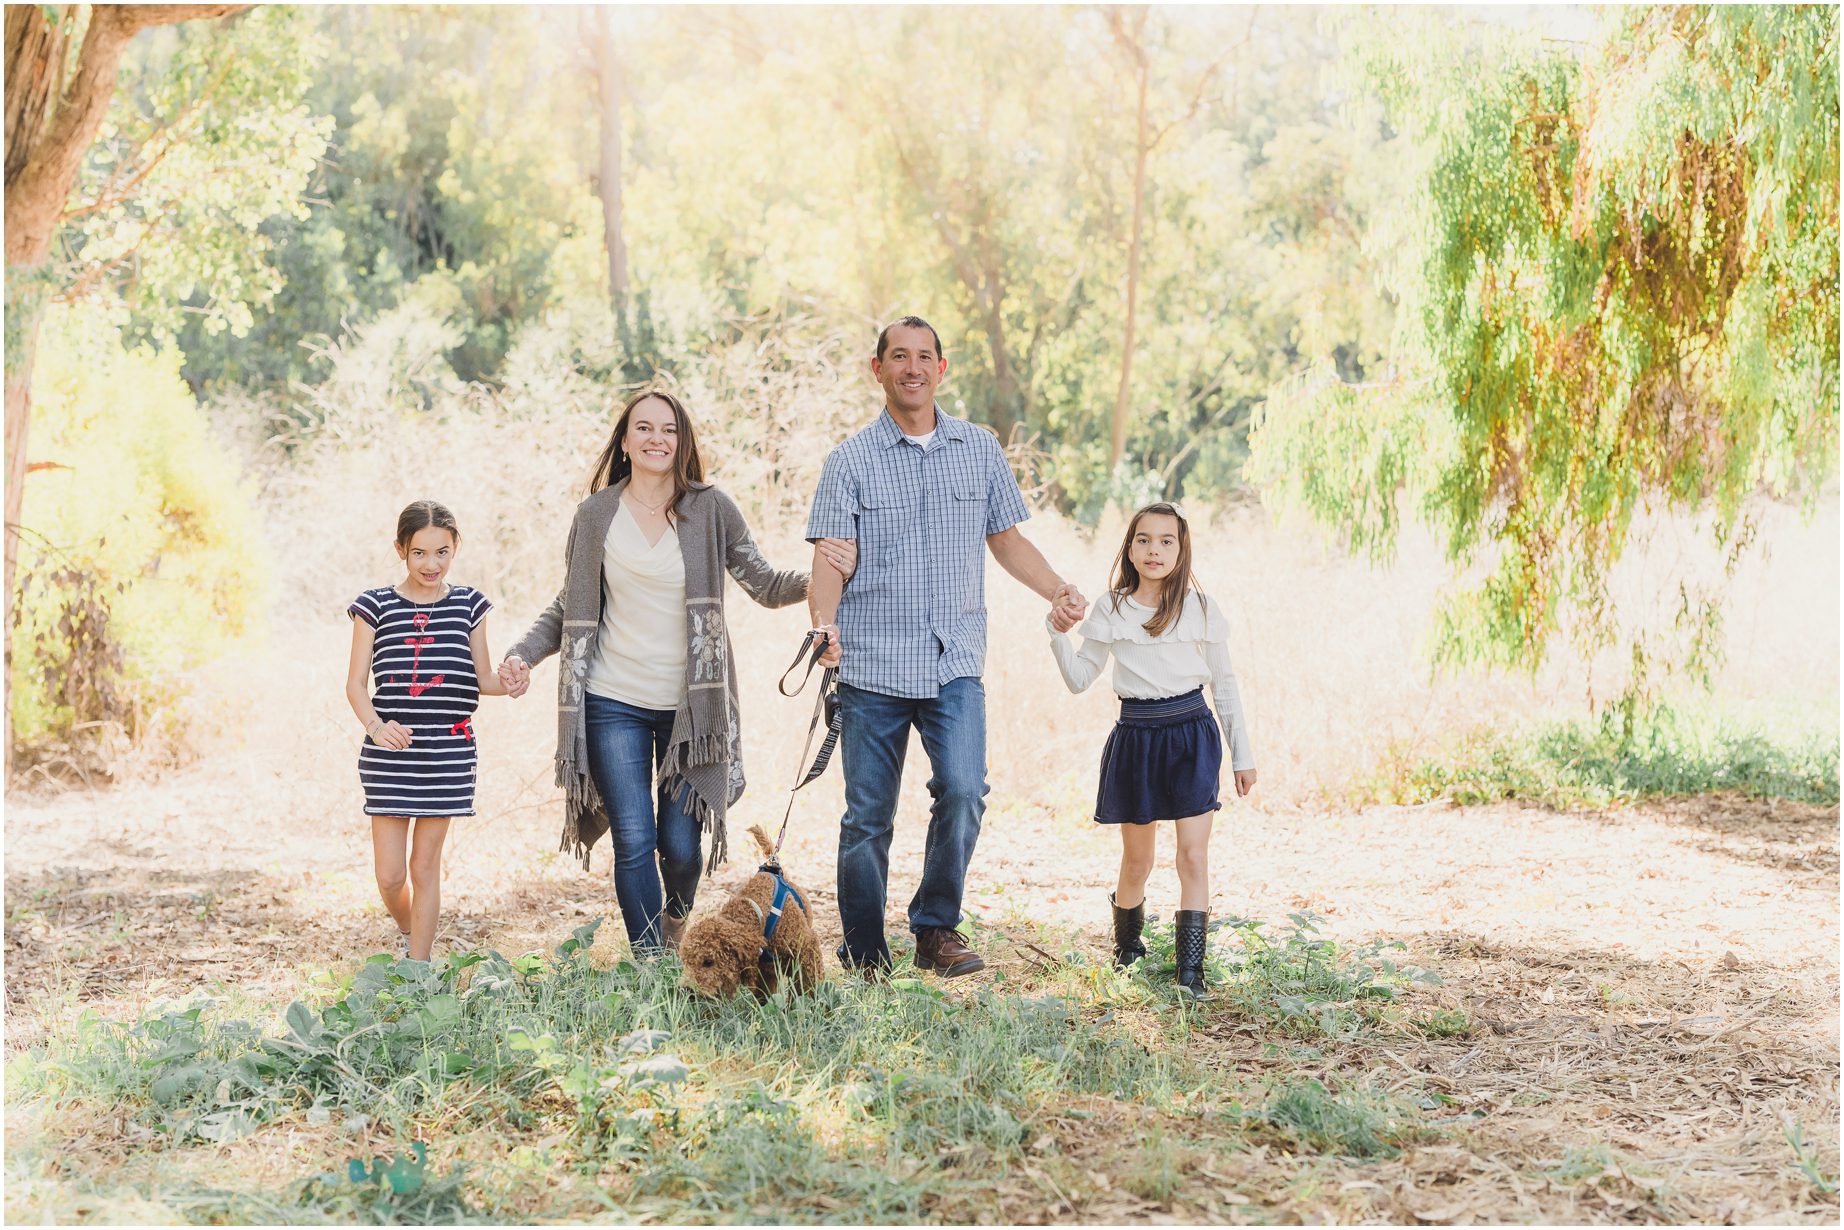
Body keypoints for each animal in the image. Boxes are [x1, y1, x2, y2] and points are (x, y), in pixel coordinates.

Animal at [682, 826, 826, 1003]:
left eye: (708, 962)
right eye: (686, 962)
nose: (688, 991)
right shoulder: (765, 972)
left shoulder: (807, 948)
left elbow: (808, 988)